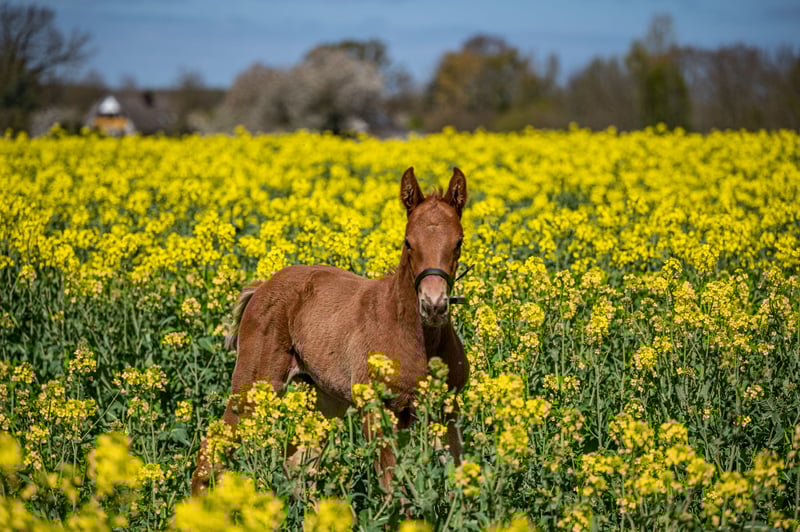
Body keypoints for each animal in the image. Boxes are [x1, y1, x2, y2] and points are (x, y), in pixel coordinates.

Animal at [191, 167, 469, 495]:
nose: (433, 305)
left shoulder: (446, 411)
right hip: (254, 387)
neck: (417, 339)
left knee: (299, 463)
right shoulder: (376, 409)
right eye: (408, 242)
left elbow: (457, 476)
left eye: (458, 242)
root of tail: (262, 287)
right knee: (212, 447)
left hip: (324, 398)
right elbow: (391, 486)